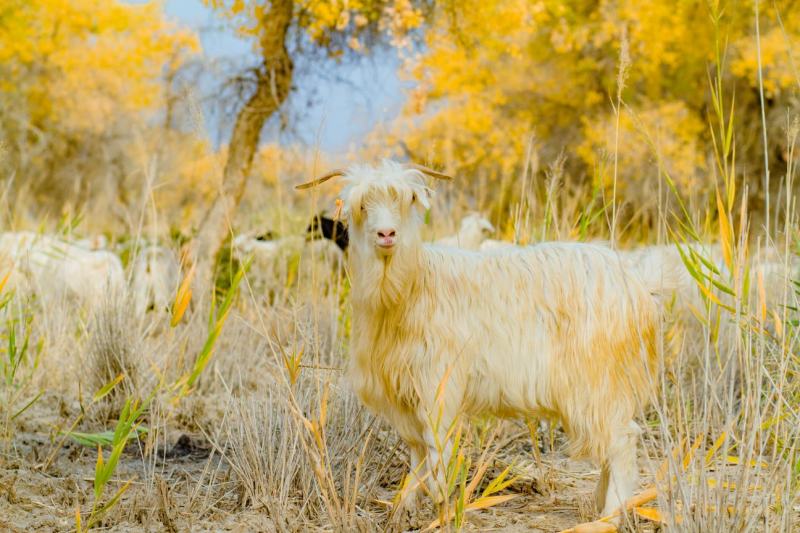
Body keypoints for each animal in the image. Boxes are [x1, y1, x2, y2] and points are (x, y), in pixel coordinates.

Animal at [294, 161, 664, 516]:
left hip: (597, 382)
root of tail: (637, 283)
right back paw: (600, 504)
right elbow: (416, 452)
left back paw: (609, 516)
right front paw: (403, 507)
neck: (410, 288)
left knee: (622, 440)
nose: (387, 234)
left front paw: (440, 505)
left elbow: (435, 449)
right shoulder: (403, 391)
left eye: (409, 199)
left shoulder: (438, 384)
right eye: (360, 205)